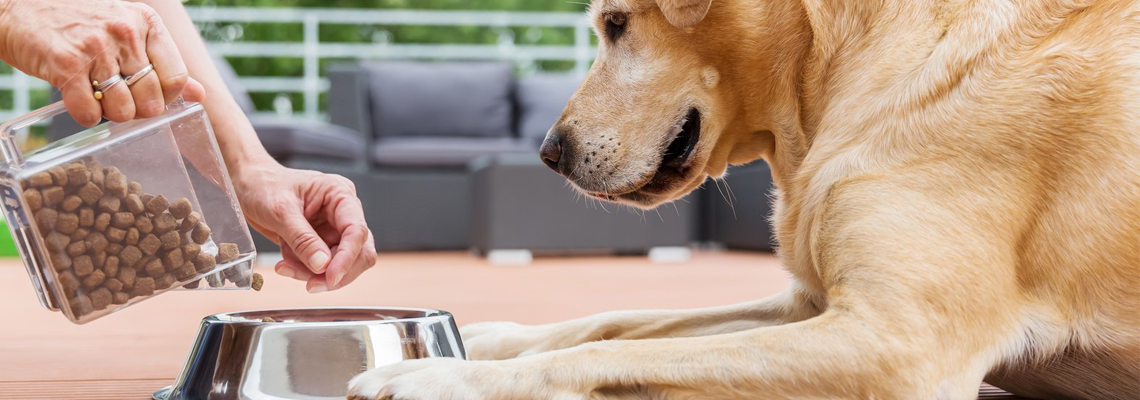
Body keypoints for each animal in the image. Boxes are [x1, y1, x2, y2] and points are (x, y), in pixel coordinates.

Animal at [348, 0, 1140, 398]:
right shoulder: (809, 306)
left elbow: (605, 351)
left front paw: (441, 373)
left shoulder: (899, 344)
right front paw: (484, 337)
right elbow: (614, 323)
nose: (548, 152)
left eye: (616, 23)